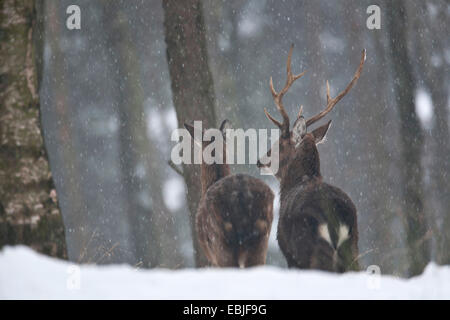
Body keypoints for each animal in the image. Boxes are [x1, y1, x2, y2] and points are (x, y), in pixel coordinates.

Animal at [256, 45, 366, 272]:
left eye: (279, 144)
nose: (260, 160)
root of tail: (336, 217)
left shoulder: (289, 252)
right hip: (353, 247)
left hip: (309, 246)